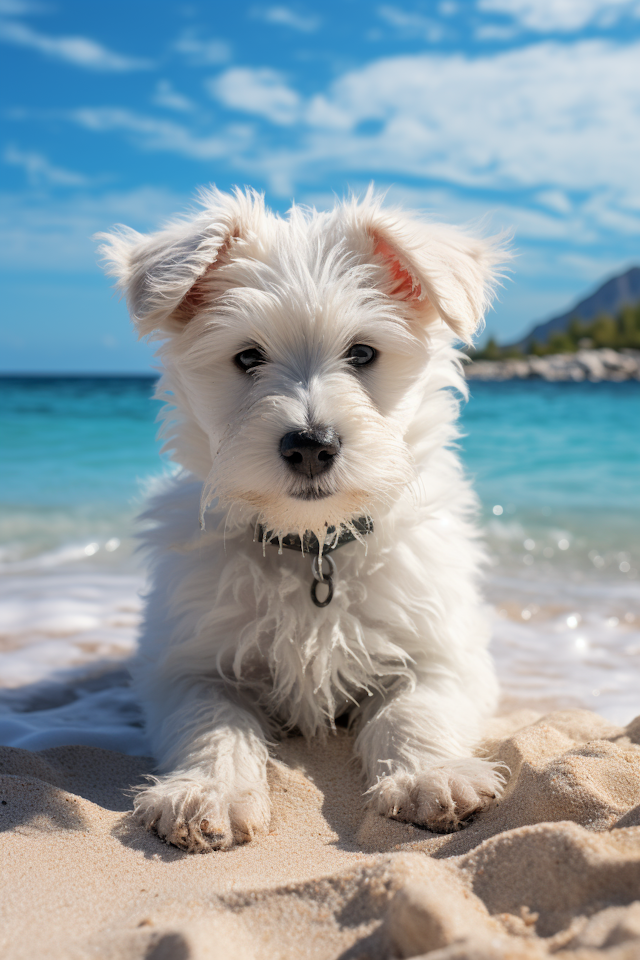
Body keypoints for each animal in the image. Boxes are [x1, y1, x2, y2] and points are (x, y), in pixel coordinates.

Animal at [100, 188, 508, 856]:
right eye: (247, 357)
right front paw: (211, 792)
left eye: (363, 353)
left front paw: (432, 775)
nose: (311, 445)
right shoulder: (188, 663)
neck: (313, 545)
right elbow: (212, 721)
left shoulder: (443, 649)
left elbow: (414, 709)